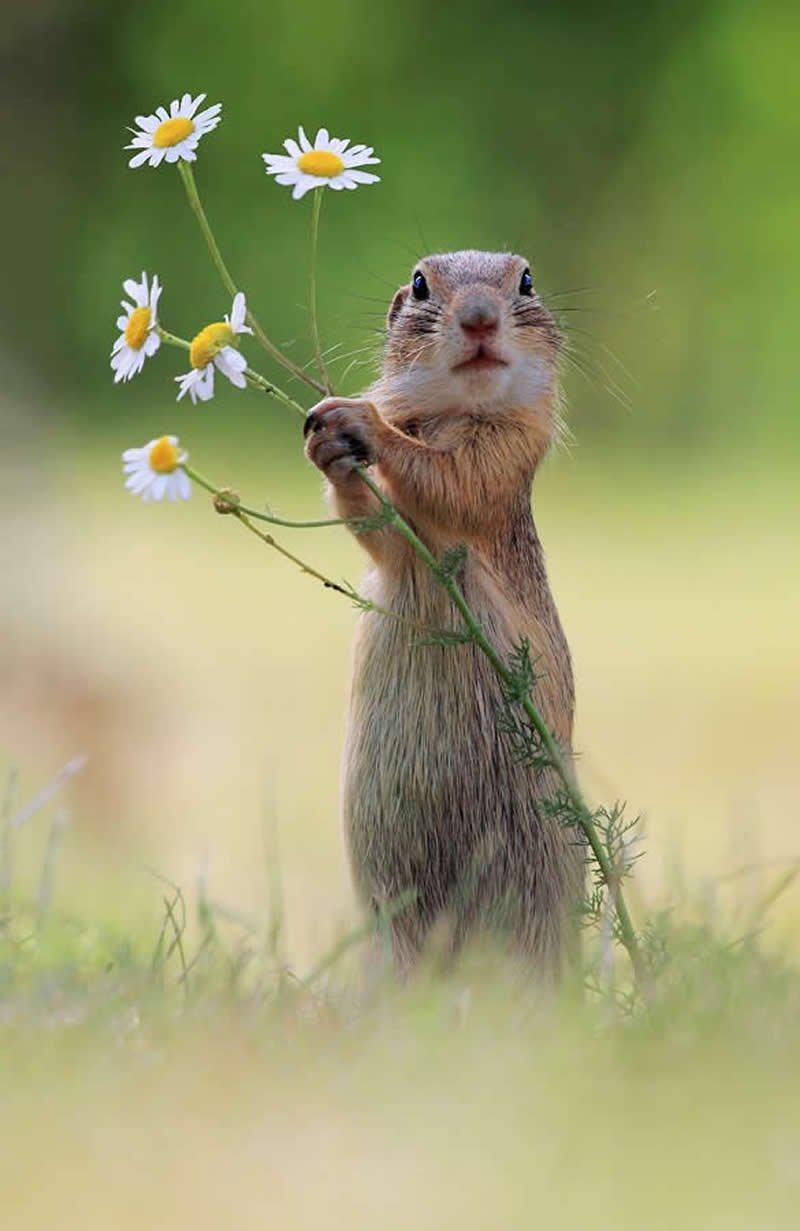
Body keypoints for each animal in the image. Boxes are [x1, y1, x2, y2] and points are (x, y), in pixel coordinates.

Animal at [304, 249, 583, 975]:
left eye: (527, 280)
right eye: (421, 283)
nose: (480, 318)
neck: (458, 411)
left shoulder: (505, 453)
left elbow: (453, 480)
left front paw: (361, 421)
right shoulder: (399, 545)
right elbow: (376, 523)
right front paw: (328, 445)